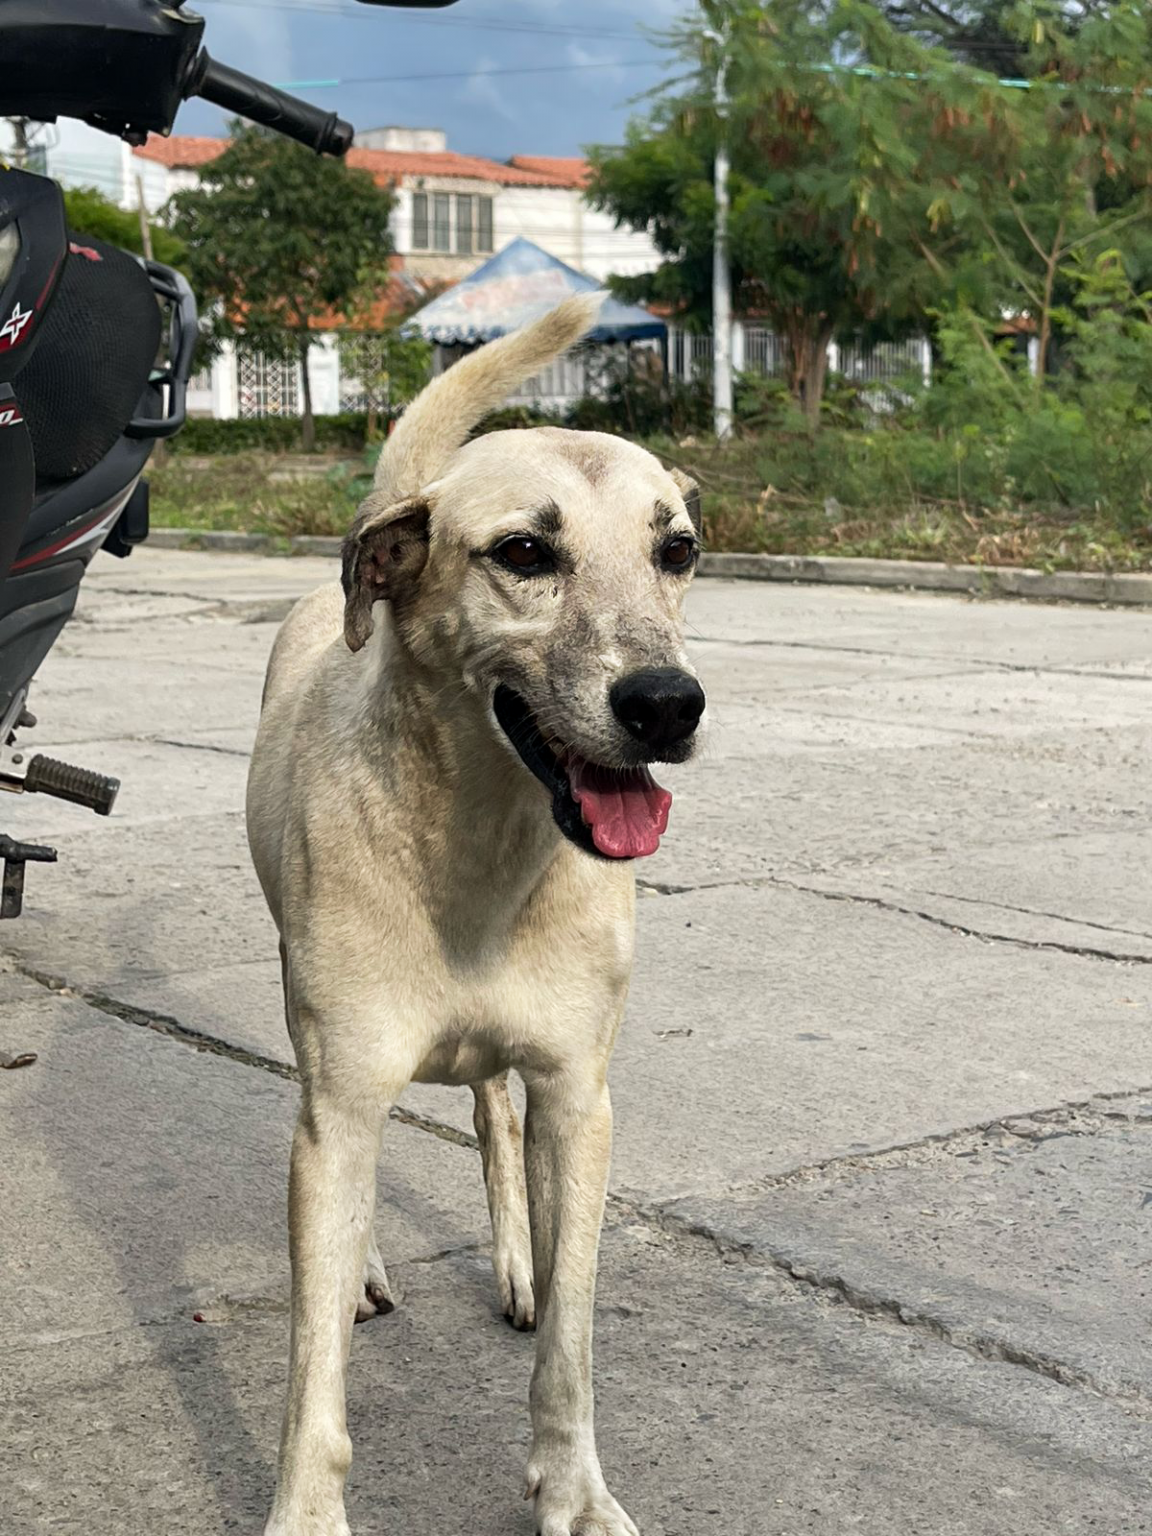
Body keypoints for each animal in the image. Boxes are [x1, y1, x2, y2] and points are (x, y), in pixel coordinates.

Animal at [246, 293, 706, 1536]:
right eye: (524, 553)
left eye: (677, 548)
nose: (667, 704)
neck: (480, 846)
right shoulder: (342, 1103)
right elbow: (311, 1377)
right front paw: (306, 1512)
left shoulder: (579, 1097)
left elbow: (573, 1344)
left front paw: (575, 1490)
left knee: (495, 1118)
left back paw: (515, 1261)